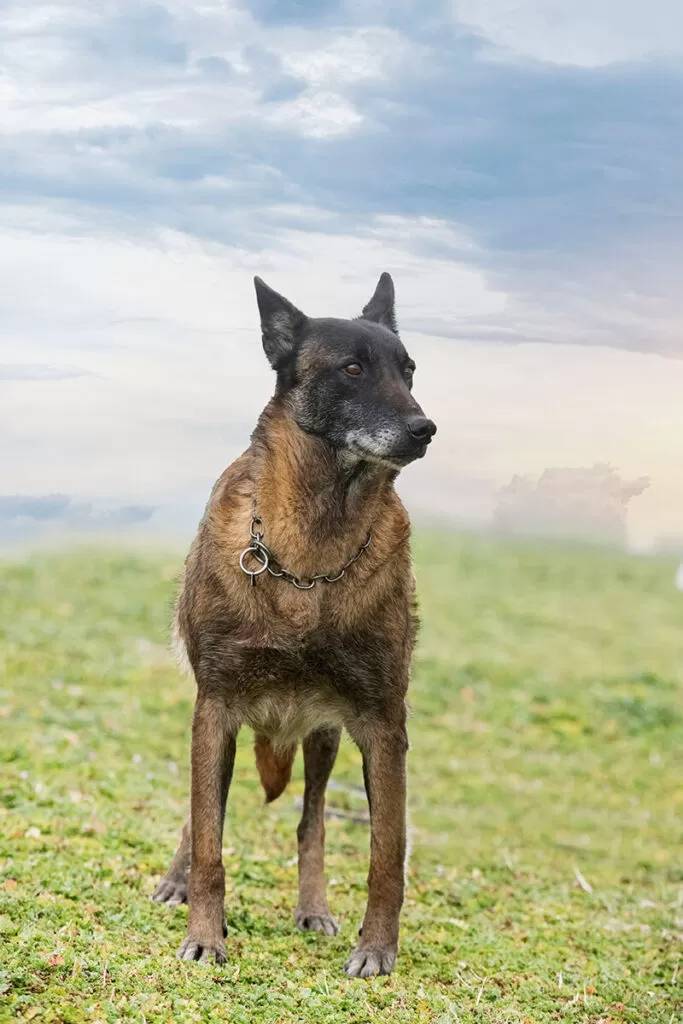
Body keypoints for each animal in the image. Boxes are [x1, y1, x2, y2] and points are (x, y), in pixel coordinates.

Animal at [152, 272, 436, 974]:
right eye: (352, 368)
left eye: (409, 371)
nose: (425, 428)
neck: (312, 556)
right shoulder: (215, 708)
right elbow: (210, 838)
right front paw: (206, 935)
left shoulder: (382, 724)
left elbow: (385, 855)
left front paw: (377, 949)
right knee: (202, 815)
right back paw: (175, 880)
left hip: (324, 736)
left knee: (312, 821)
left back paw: (314, 908)